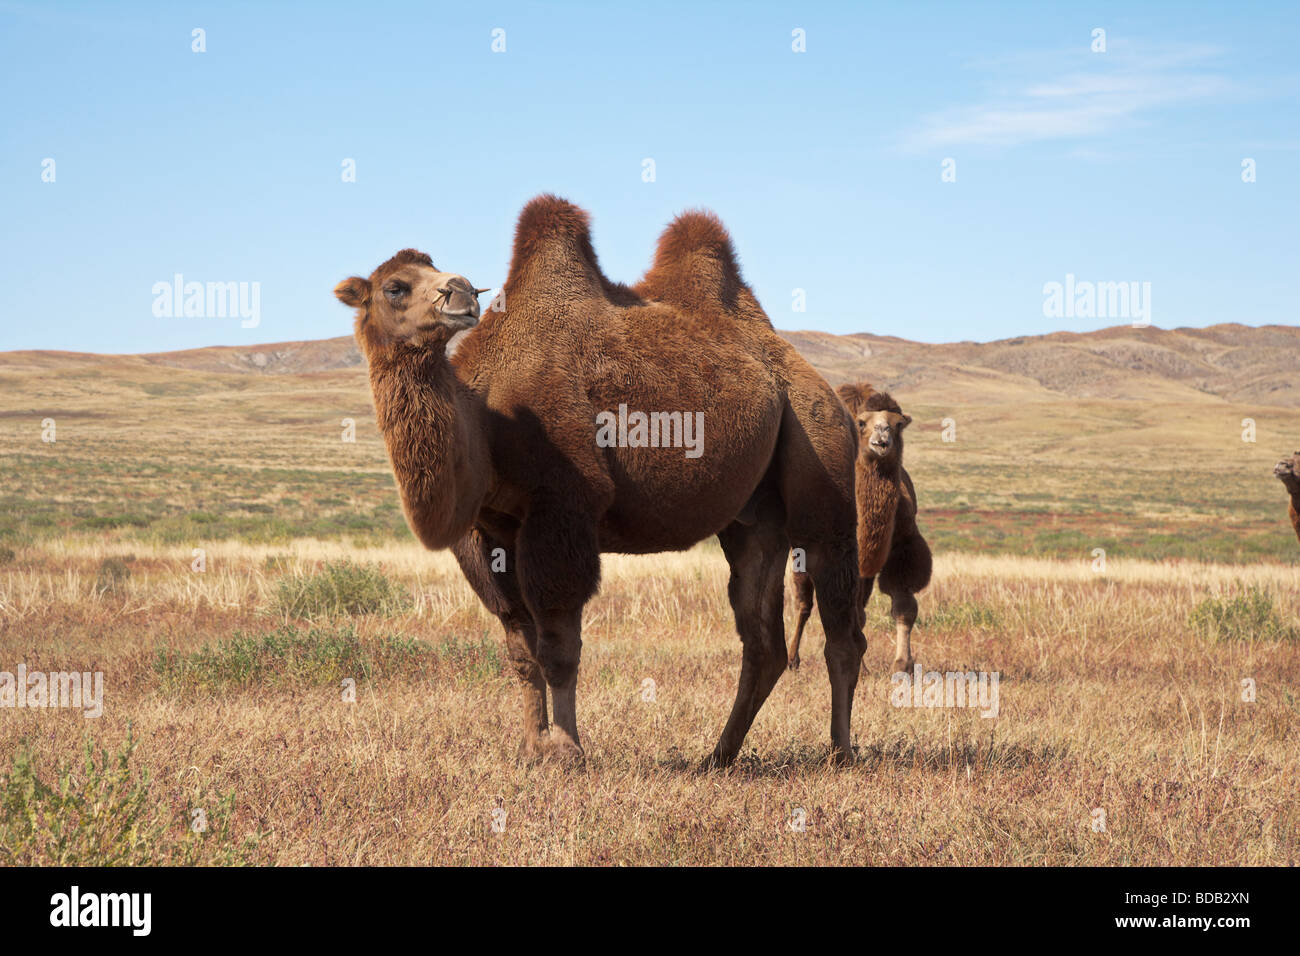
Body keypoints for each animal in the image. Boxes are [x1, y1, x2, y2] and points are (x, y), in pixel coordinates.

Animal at [330, 196, 868, 770]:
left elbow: (559, 649)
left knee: (841, 624)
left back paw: (840, 750)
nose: (461, 290)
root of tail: (816, 382)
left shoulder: (563, 509)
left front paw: (568, 751)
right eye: (395, 286)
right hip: (753, 520)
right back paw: (718, 756)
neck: (491, 425)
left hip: (818, 449)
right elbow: (520, 651)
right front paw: (530, 749)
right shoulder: (485, 533)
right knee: (761, 638)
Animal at [785, 385, 930, 676]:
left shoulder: (900, 550)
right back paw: (792, 659)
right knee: (803, 604)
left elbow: (904, 607)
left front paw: (902, 664)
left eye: (898, 424)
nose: (882, 437)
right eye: (862, 423)